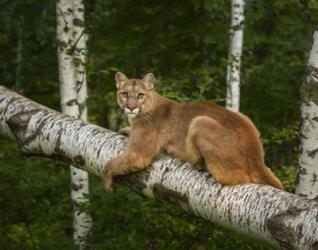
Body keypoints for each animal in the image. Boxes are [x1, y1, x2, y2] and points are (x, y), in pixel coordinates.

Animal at [103, 72, 284, 191]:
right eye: (125, 94)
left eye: (140, 95)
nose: (131, 107)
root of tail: (257, 157)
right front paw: (125, 130)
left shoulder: (138, 155)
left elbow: (110, 164)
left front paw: (107, 183)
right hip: (245, 117)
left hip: (200, 121)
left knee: (237, 178)